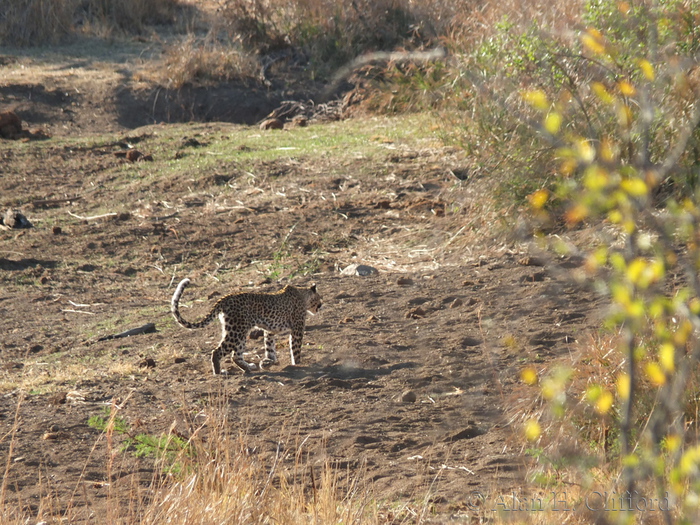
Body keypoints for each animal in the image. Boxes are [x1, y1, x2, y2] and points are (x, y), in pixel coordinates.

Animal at [171, 278, 322, 372]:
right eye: (320, 298)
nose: (322, 305)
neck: (303, 295)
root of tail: (224, 298)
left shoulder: (269, 331)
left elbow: (270, 348)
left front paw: (267, 362)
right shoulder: (297, 328)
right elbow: (295, 349)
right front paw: (298, 364)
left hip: (239, 331)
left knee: (235, 355)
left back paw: (249, 368)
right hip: (236, 331)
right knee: (217, 351)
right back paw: (219, 372)